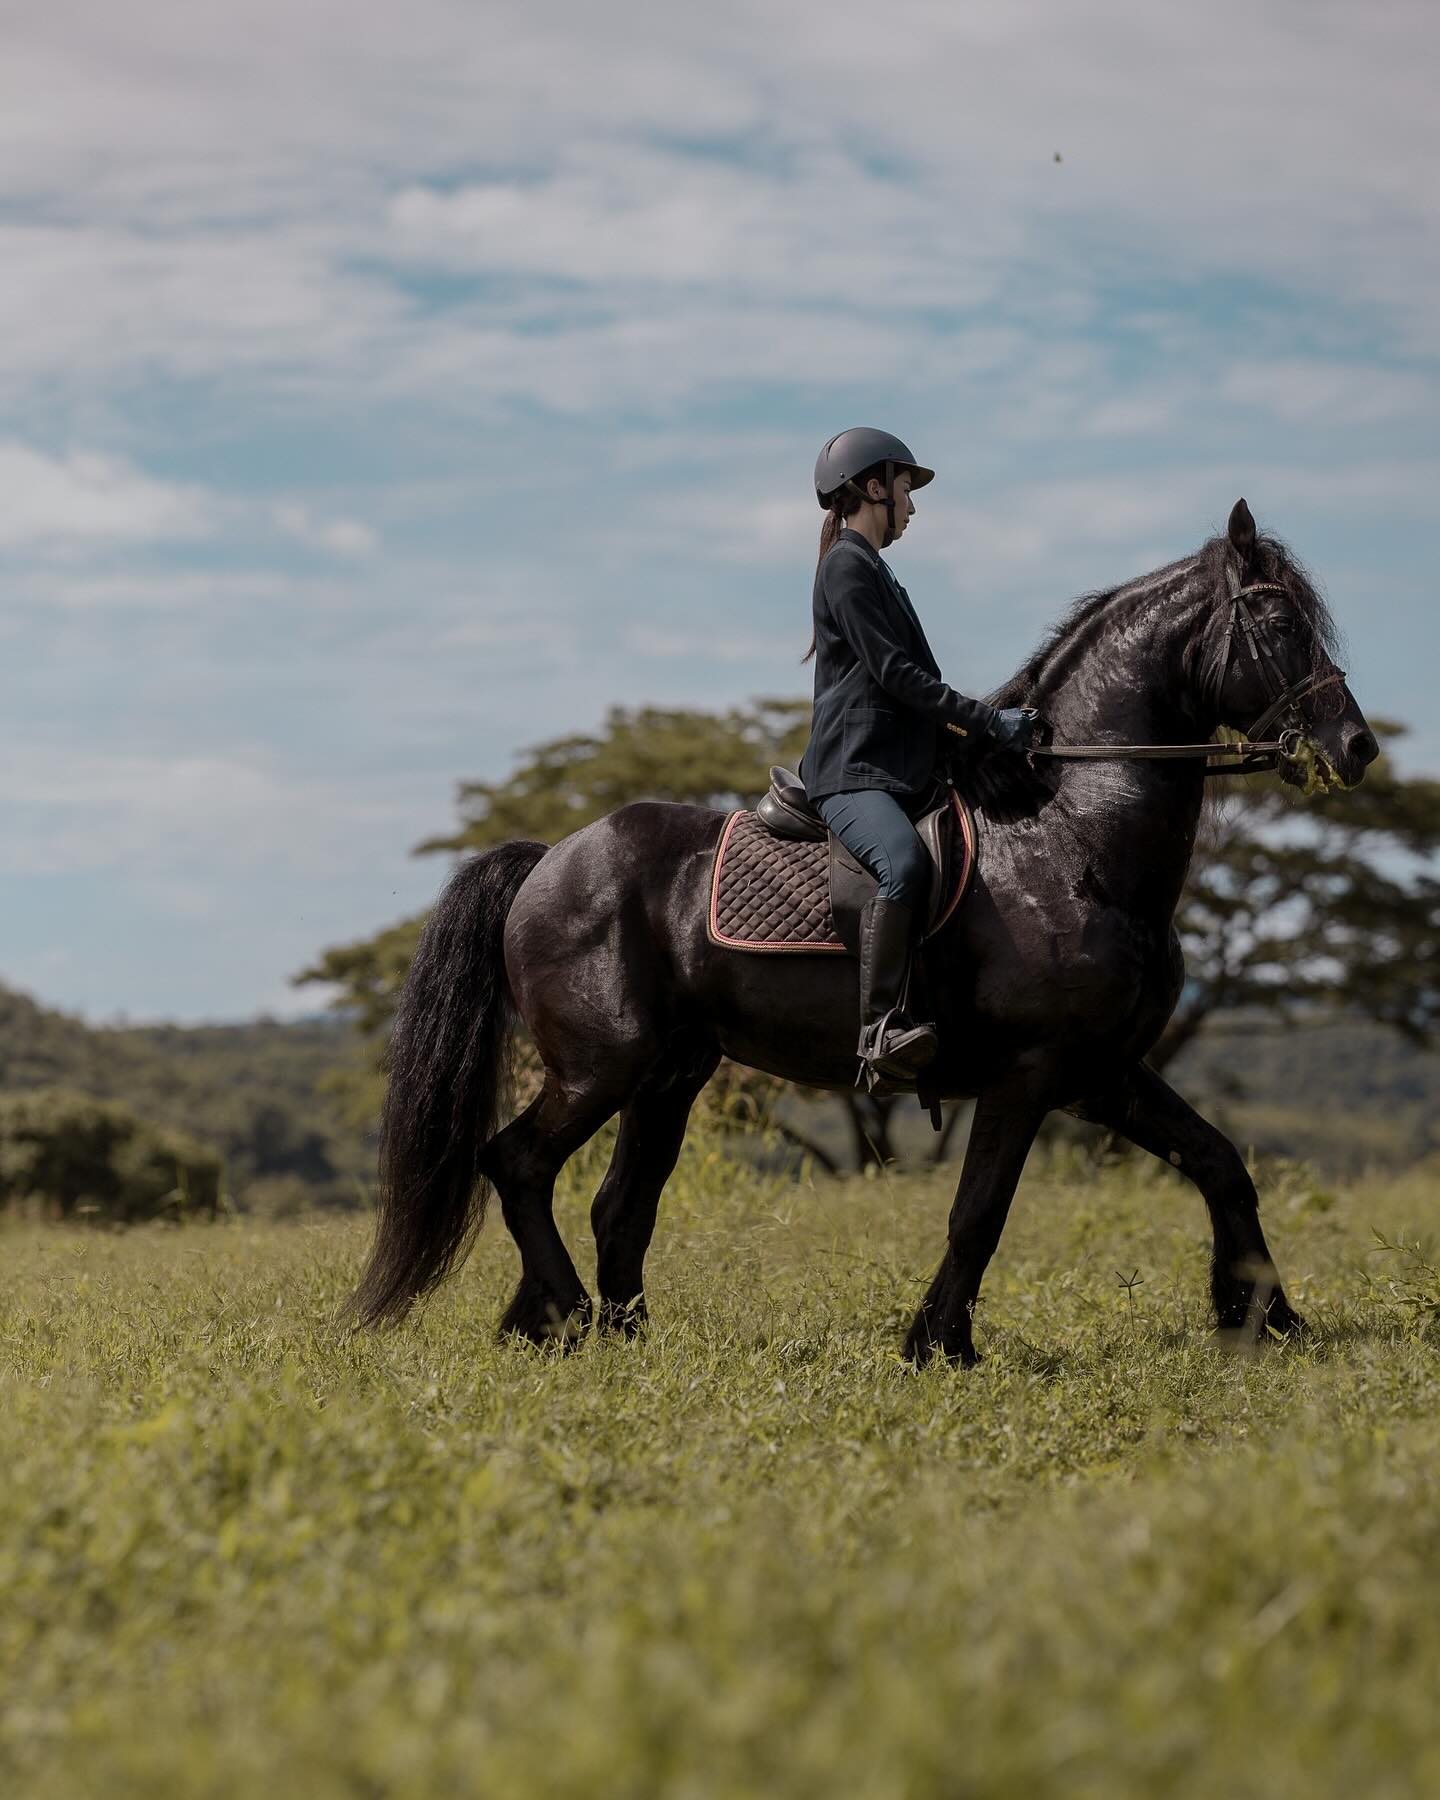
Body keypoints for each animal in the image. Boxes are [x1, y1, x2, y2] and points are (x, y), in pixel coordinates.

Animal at [354, 504, 1375, 1360]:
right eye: (1278, 624)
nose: (1357, 747)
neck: (1068, 827)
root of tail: (549, 860)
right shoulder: (1032, 1071)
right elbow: (979, 1214)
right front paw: (939, 1346)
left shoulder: (1103, 1071)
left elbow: (1221, 1164)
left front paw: (1267, 1318)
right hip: (601, 1064)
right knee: (518, 1163)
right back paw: (563, 1317)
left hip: (669, 1073)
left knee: (619, 1205)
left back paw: (606, 1332)